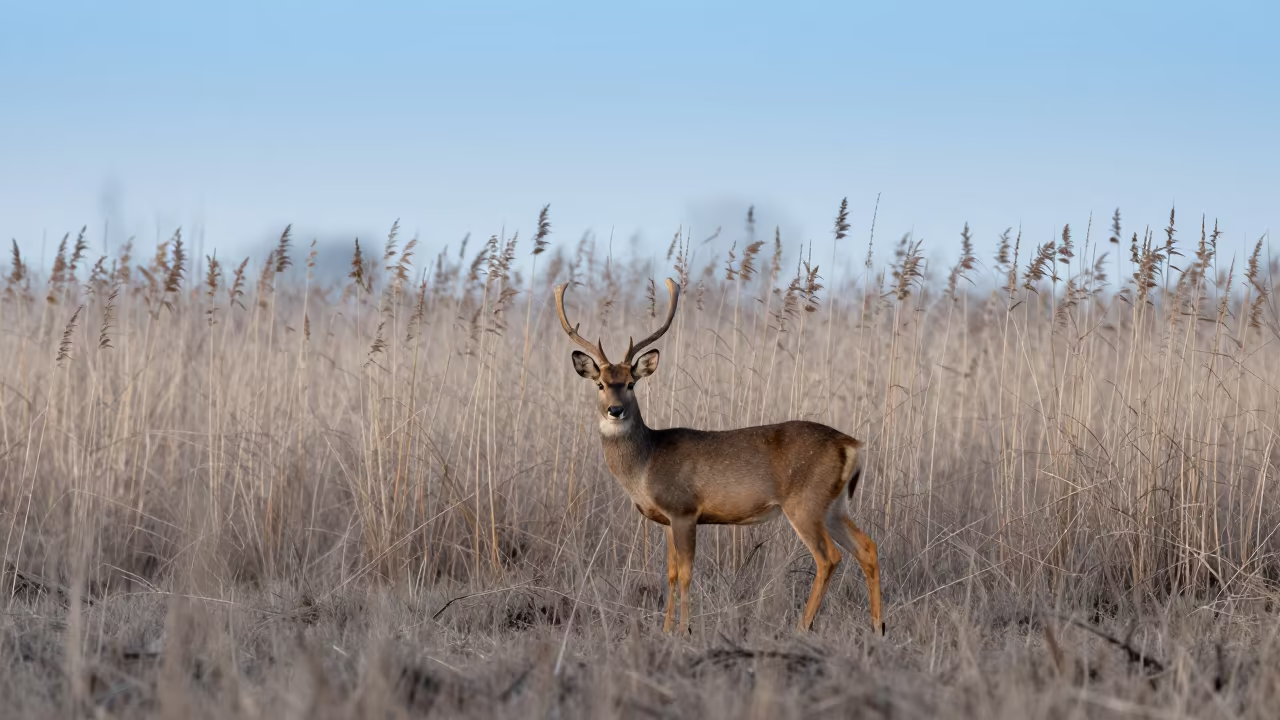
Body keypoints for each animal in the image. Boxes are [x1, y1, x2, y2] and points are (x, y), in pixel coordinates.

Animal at [554, 277, 883, 635]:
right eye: (600, 384)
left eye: (630, 383)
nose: (615, 410)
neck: (646, 463)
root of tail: (851, 444)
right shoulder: (667, 519)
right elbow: (670, 573)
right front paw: (666, 629)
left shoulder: (684, 509)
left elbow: (686, 573)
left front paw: (685, 630)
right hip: (834, 505)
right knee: (867, 547)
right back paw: (878, 627)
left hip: (805, 501)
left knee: (829, 557)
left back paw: (803, 626)